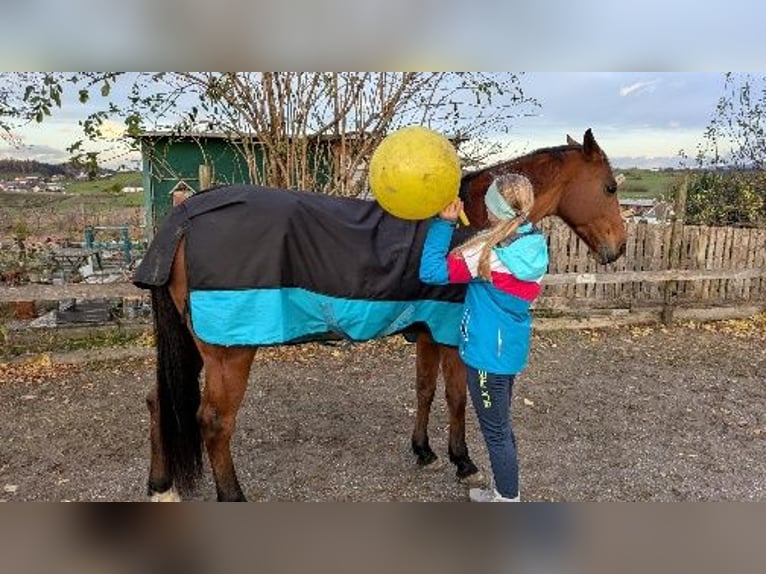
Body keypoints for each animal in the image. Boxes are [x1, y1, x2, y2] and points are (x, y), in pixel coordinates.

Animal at [134, 128, 626, 501]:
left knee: (159, 401)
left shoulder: (427, 332)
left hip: (193, 342)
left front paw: (423, 450)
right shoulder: (449, 333)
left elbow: (425, 390)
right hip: (229, 352)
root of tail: (186, 214)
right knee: (215, 423)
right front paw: (463, 460)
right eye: (609, 187)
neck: (470, 222)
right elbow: (456, 396)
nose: (617, 248)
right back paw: (232, 496)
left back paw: (161, 486)